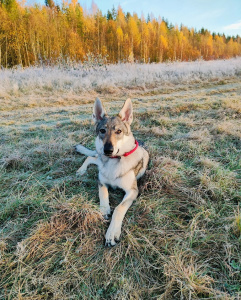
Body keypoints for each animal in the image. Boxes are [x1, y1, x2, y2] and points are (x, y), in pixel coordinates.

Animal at [75, 98, 149, 246]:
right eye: (102, 130)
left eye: (119, 131)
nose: (108, 150)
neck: (114, 162)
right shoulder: (101, 181)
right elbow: (103, 194)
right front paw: (104, 210)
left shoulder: (132, 191)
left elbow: (119, 209)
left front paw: (112, 233)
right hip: (98, 159)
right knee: (91, 157)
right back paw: (81, 170)